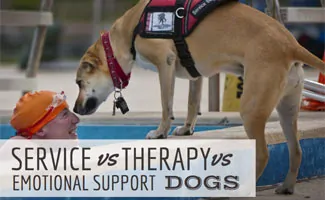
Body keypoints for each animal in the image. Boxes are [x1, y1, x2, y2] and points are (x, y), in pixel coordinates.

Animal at [73, 0, 324, 195]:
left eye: (78, 83)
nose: (75, 109)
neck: (128, 31)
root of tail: (291, 44)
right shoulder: (197, 74)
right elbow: (193, 103)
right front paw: (186, 129)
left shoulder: (165, 62)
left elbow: (166, 105)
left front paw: (160, 132)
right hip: (287, 109)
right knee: (297, 151)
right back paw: (287, 186)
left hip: (251, 109)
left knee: (263, 154)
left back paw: (243, 190)